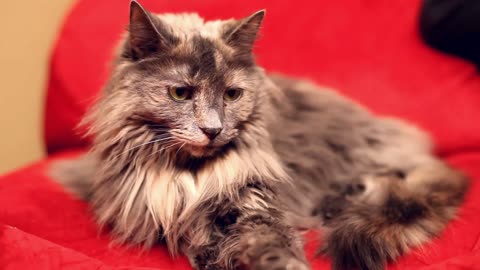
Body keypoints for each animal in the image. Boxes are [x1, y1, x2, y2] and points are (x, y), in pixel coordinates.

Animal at [50, 1, 466, 268]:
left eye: (232, 95)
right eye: (180, 93)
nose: (213, 130)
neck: (190, 173)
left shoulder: (256, 201)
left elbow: (268, 242)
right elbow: (197, 235)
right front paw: (212, 255)